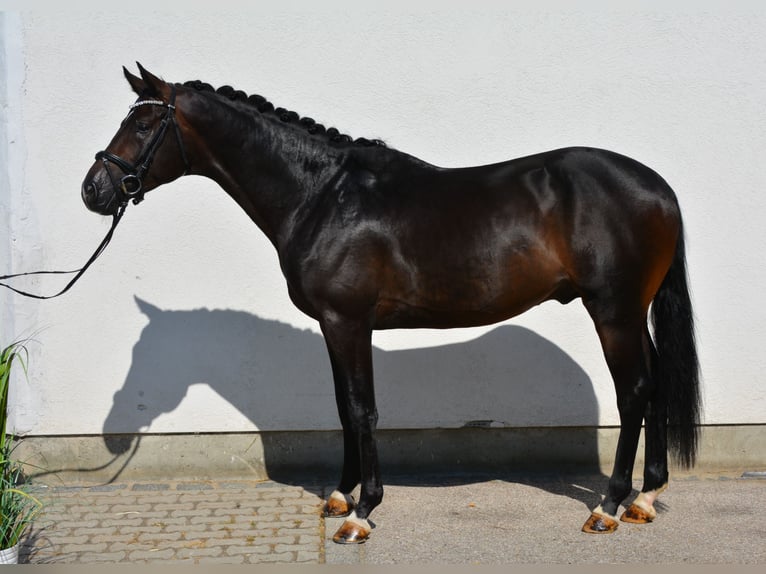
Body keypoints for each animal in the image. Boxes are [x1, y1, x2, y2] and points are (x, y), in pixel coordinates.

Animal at [82, 65, 704, 548]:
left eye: (143, 124)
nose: (94, 191)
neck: (322, 196)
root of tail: (660, 188)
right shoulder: (334, 327)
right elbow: (342, 409)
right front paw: (339, 495)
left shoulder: (349, 322)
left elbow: (362, 410)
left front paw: (361, 515)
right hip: (632, 313)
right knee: (654, 384)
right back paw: (645, 498)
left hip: (613, 312)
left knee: (635, 392)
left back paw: (608, 506)